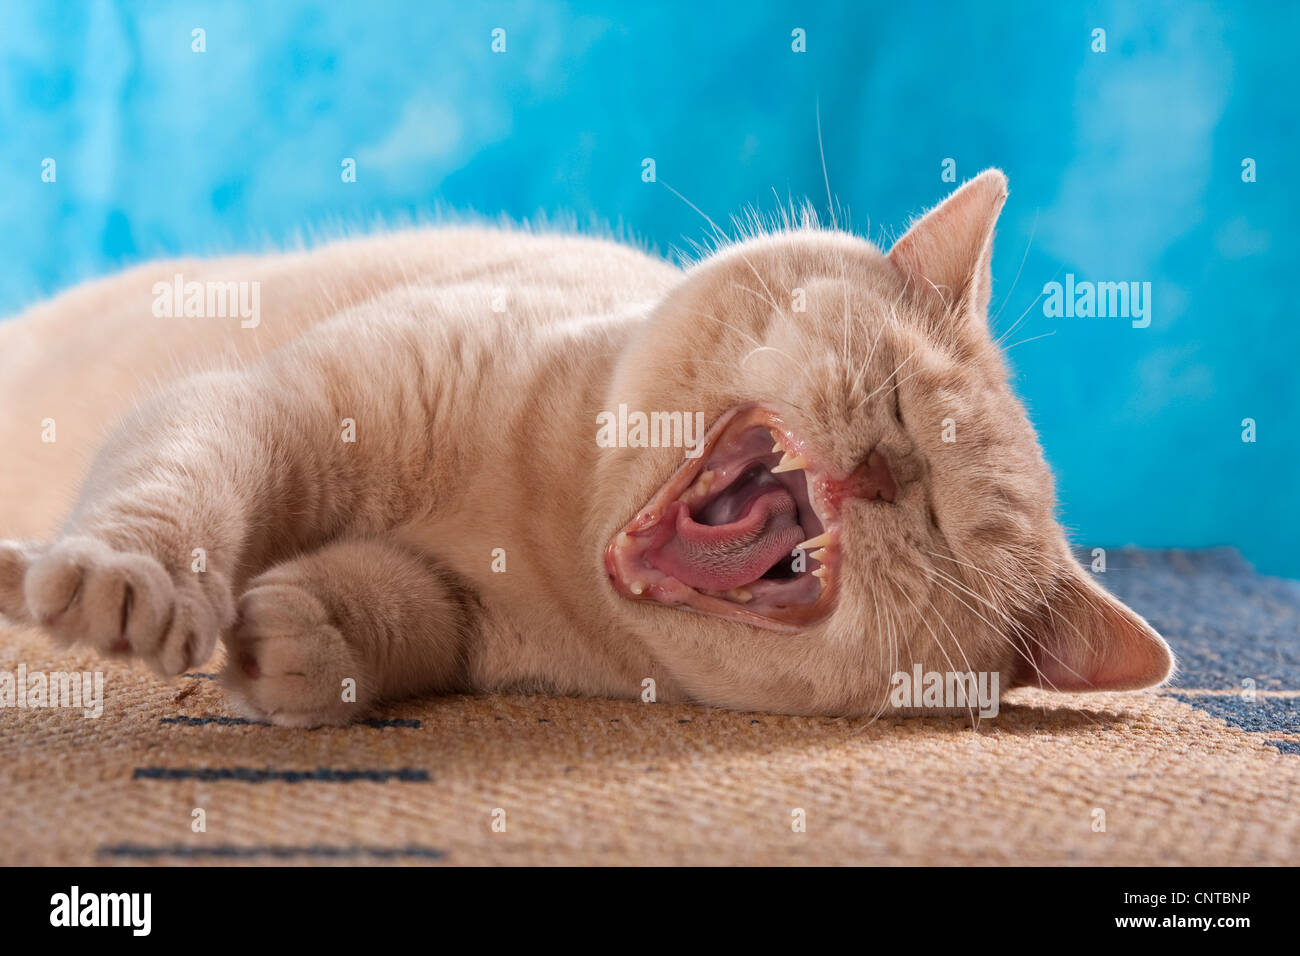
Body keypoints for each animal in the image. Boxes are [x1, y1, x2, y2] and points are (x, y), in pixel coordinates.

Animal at [0, 171, 1180, 723]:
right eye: (896, 395)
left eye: (945, 526)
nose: (886, 470)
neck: (538, 522)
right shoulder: (265, 408)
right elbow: (178, 492)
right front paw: (129, 581)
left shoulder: (457, 618)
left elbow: (395, 612)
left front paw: (296, 641)